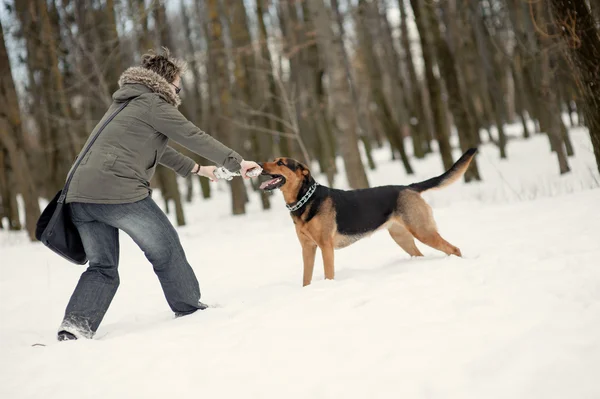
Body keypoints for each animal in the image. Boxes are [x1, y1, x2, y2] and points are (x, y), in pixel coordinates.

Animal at [260, 148, 476, 286]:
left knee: (454, 249)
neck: (305, 199)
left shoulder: (325, 247)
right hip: (402, 237)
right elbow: (306, 279)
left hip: (423, 231)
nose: (260, 165)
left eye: (280, 163)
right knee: (421, 254)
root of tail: (409, 187)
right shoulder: (307, 248)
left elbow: (329, 274)